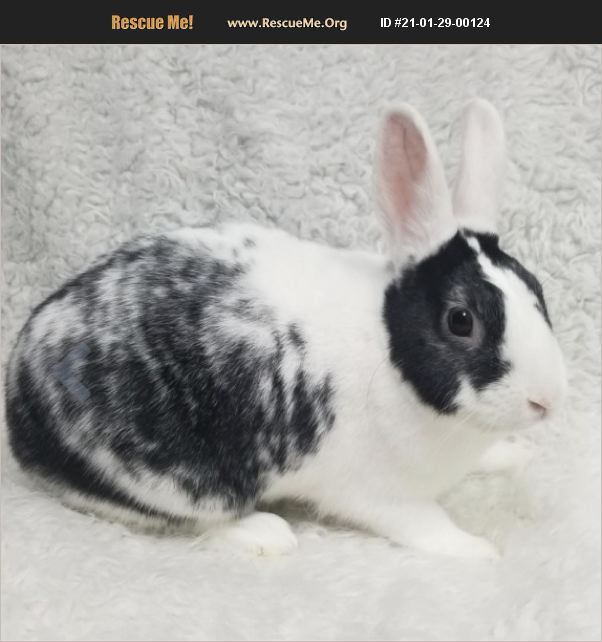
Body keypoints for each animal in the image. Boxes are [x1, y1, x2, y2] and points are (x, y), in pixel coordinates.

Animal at [5, 99, 567, 558]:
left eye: (536, 290)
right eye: (461, 320)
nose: (546, 401)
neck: (391, 354)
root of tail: (20, 401)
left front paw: (515, 454)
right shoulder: (380, 493)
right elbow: (427, 527)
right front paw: (481, 550)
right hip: (178, 481)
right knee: (191, 522)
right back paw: (267, 534)